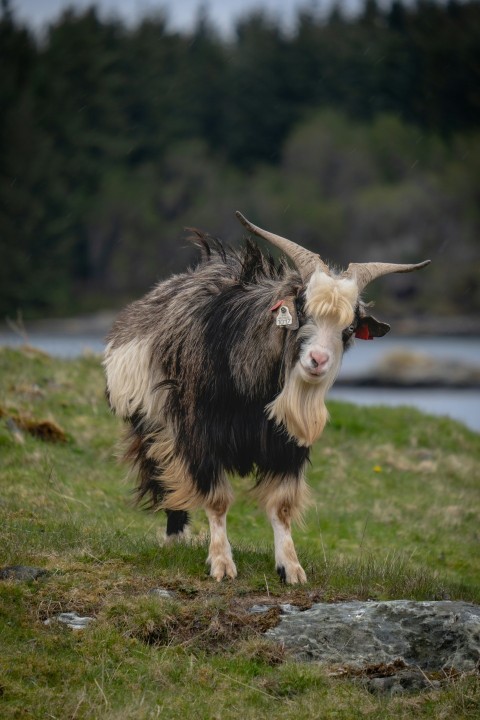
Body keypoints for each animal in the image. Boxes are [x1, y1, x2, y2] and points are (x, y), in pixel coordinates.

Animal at [104, 211, 430, 584]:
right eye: (301, 310)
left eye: (349, 328)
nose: (318, 360)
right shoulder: (200, 436)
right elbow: (217, 500)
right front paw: (222, 564)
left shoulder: (286, 446)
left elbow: (282, 506)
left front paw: (291, 567)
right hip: (151, 426)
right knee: (163, 477)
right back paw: (175, 539)